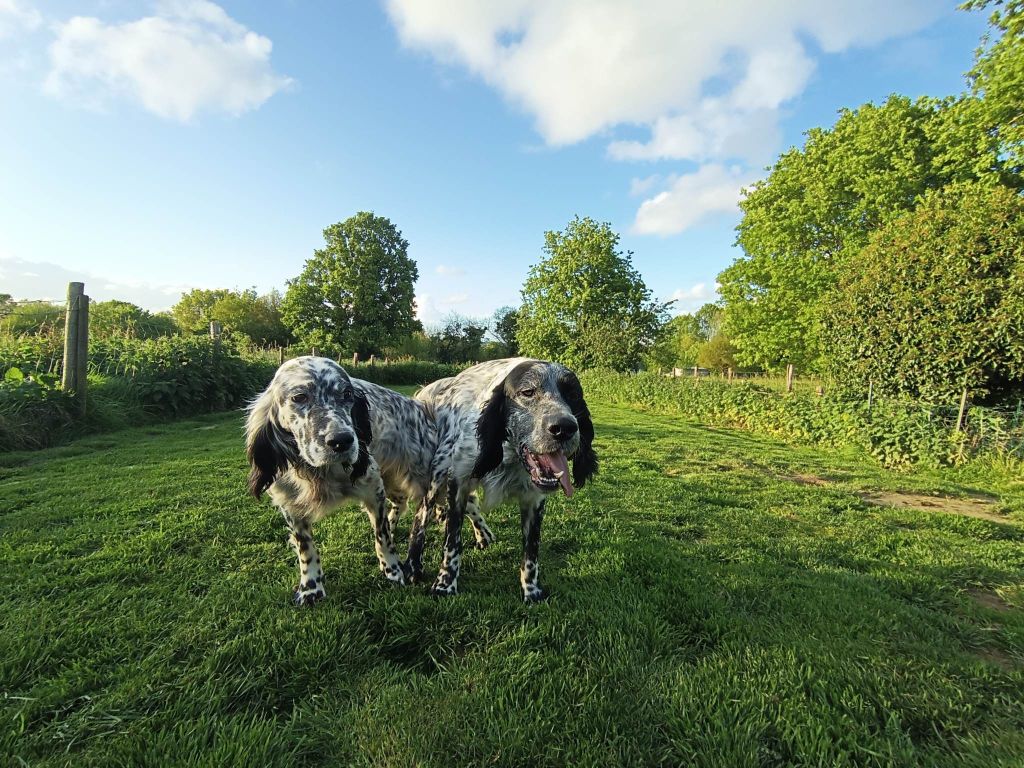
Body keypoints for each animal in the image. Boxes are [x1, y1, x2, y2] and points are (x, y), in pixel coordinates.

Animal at [247, 358, 440, 606]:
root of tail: (418, 405)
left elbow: (382, 536)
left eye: (347, 394)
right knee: (400, 503)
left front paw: (393, 569)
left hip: (419, 477)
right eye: (299, 397)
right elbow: (305, 548)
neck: (322, 472)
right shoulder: (290, 504)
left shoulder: (373, 488)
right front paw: (311, 587)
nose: (341, 440)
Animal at [405, 358, 598, 606]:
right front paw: (444, 585)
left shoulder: (534, 500)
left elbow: (531, 552)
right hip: (437, 475)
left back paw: (483, 535)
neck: (508, 453)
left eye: (573, 394)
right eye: (528, 392)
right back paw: (412, 565)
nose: (564, 428)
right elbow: (452, 543)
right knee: (420, 519)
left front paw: (531, 591)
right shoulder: (457, 483)